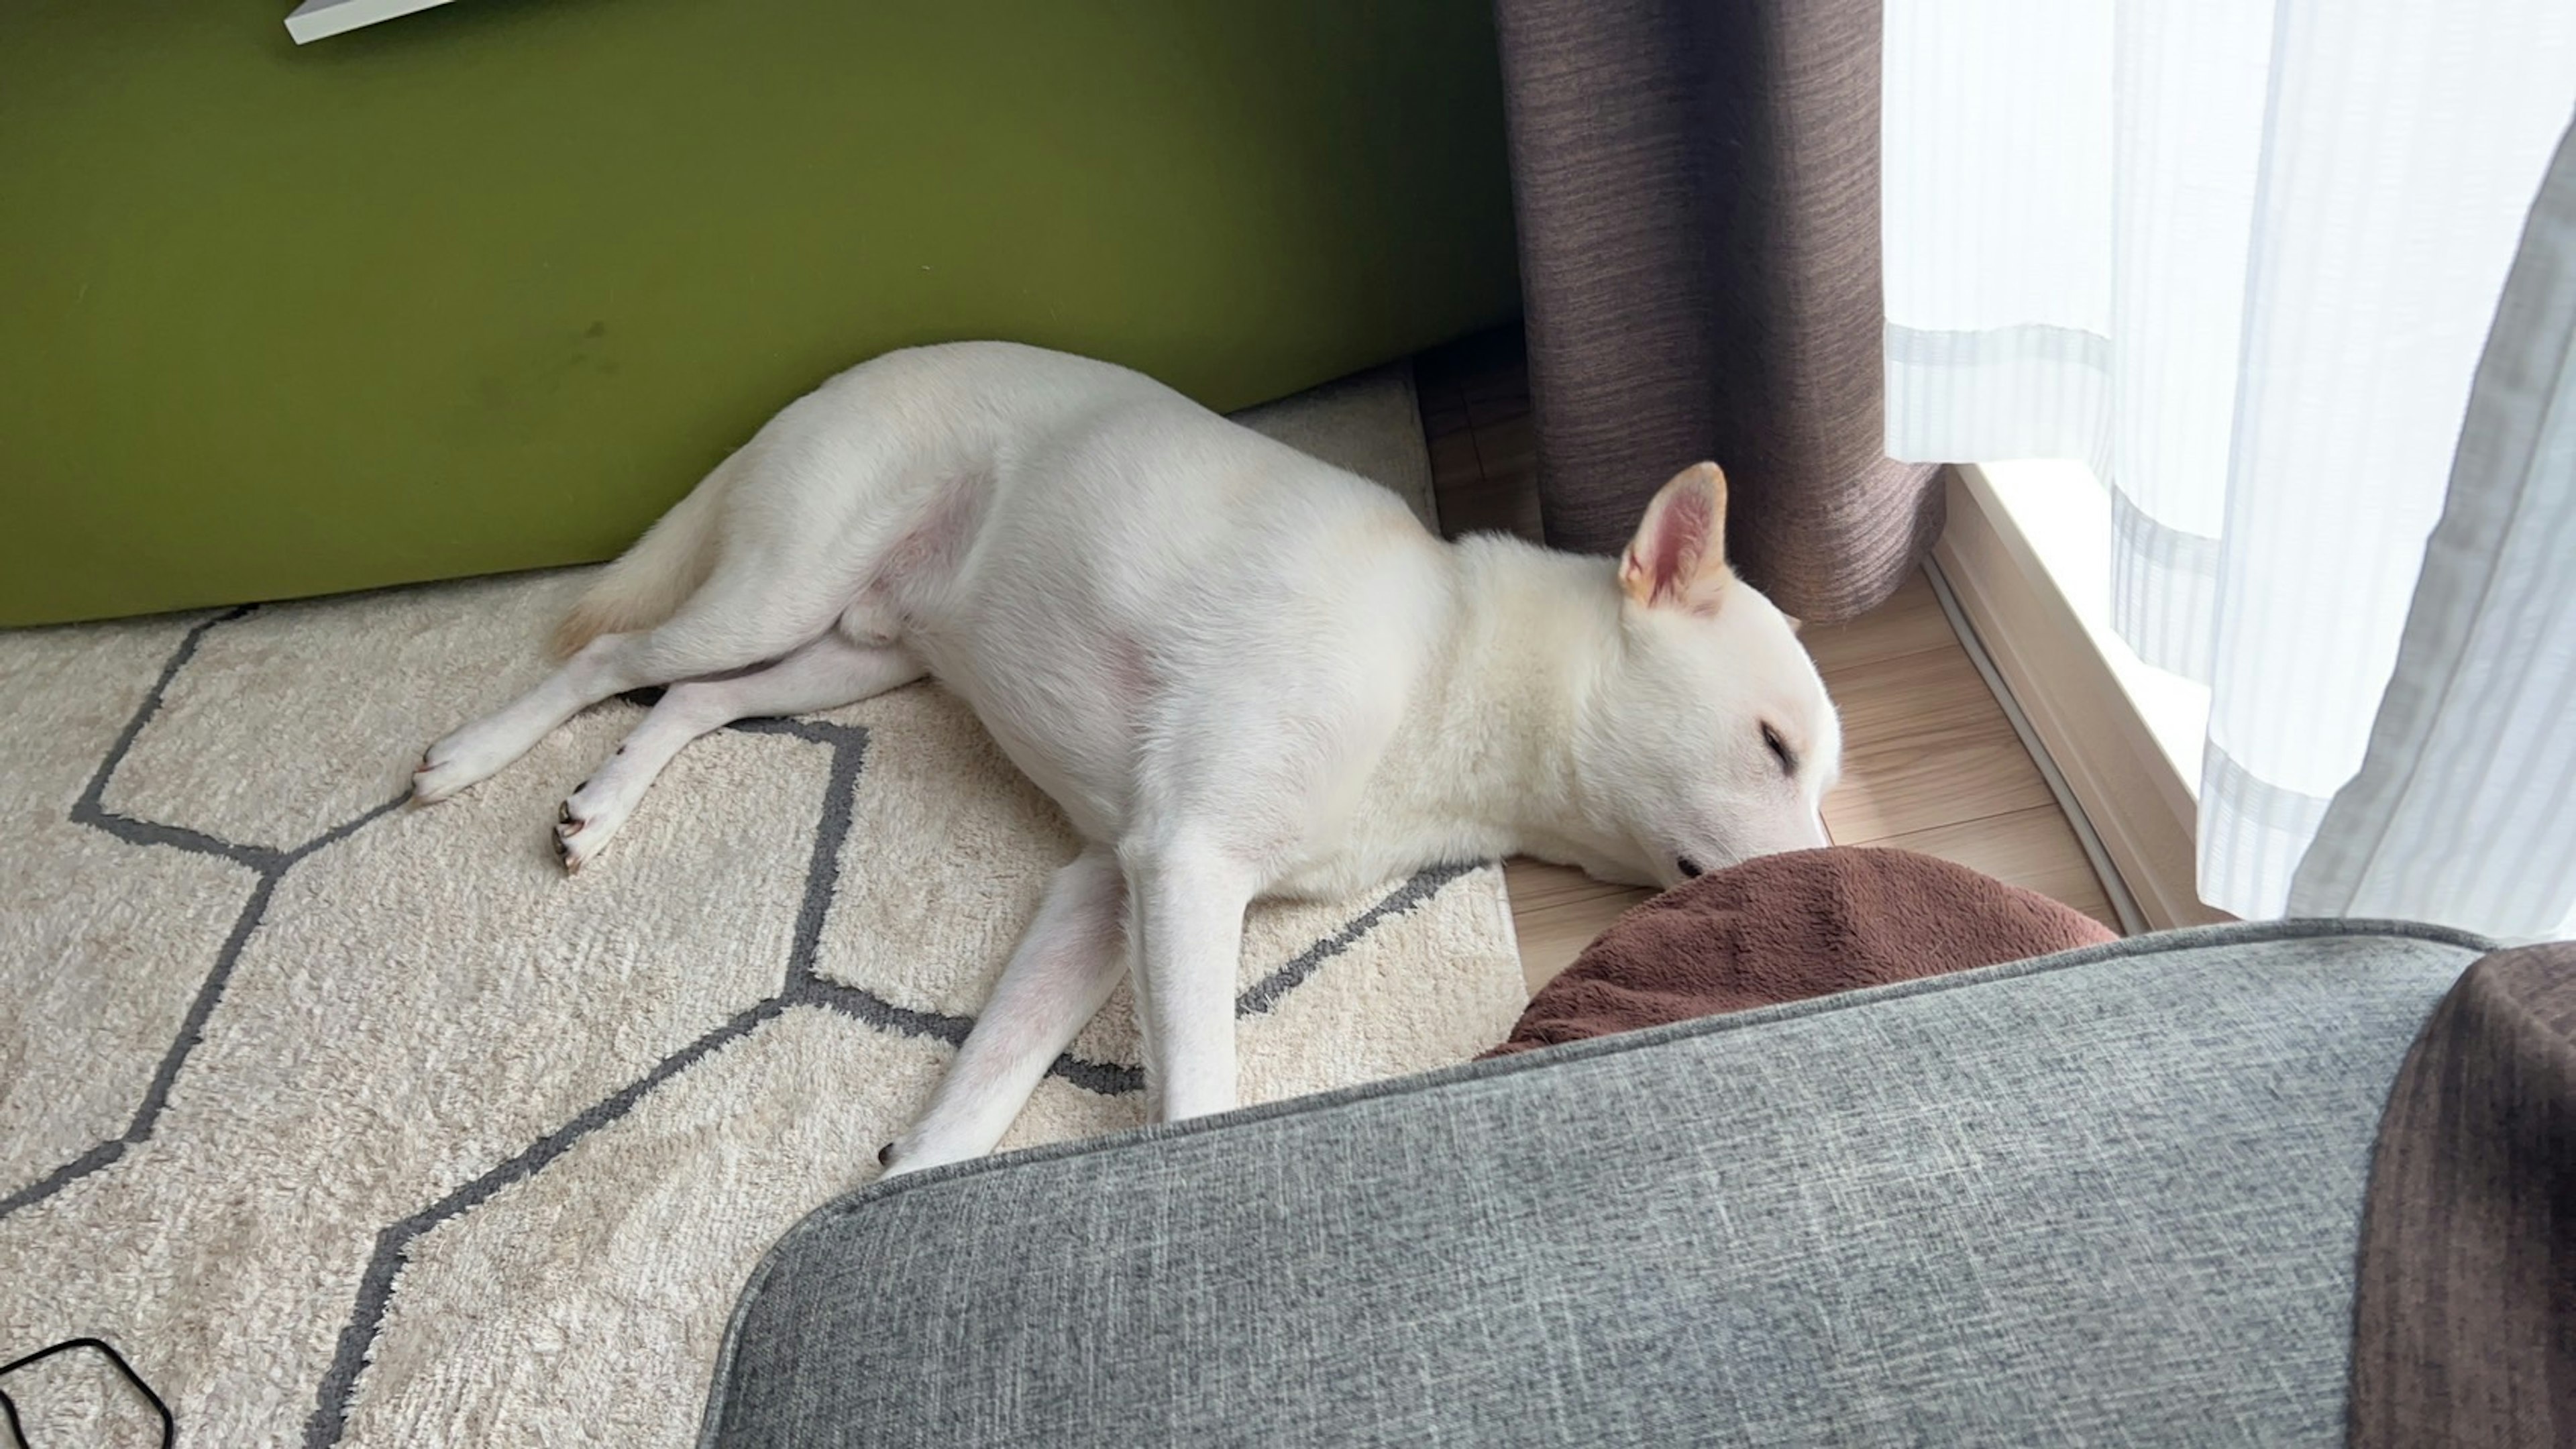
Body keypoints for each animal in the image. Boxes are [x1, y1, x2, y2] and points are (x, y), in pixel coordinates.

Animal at [417, 340, 1834, 1175]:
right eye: (1772, 747)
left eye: (1825, 783)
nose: (1834, 891)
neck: (1453, 663)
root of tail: (834, 380)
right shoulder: (1185, 864)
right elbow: (1196, 1096)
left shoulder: (1104, 888)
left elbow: (982, 1095)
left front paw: (911, 1189)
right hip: (783, 588)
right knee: (616, 658)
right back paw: (467, 758)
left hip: (858, 656)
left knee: (694, 701)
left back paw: (601, 805)